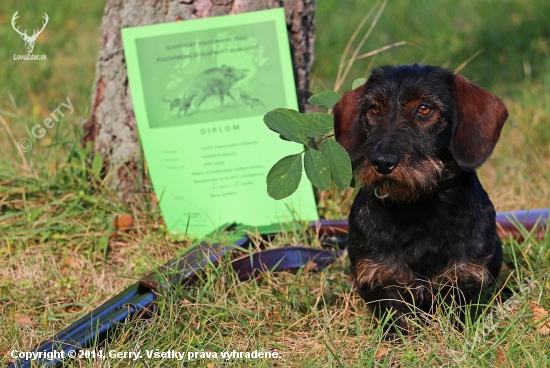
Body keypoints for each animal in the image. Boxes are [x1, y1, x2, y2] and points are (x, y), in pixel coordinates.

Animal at [332, 64, 508, 332]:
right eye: (374, 108)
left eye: (424, 108)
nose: (382, 162)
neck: (417, 209)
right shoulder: (378, 278)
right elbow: (396, 320)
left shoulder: (464, 277)